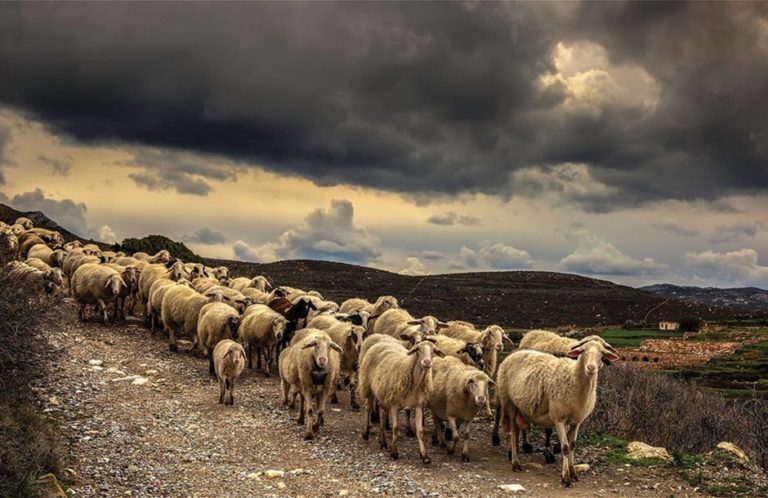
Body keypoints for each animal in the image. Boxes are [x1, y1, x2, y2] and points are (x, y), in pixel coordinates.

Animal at [496, 338, 620, 486]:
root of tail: (513, 354)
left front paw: (573, 473)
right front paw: (565, 477)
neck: (573, 379)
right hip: (509, 402)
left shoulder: (576, 421)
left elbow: (572, 445)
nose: (591, 368)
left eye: (602, 354)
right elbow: (565, 447)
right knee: (513, 433)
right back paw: (515, 463)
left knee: (518, 431)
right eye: (583, 351)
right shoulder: (559, 419)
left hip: (521, 407)